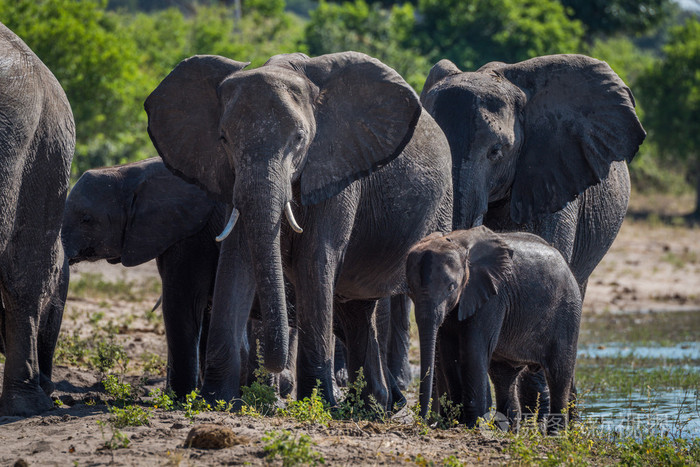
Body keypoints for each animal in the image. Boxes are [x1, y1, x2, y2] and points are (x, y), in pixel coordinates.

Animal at [146, 50, 454, 410]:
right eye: (223, 139)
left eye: (299, 139)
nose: (273, 371)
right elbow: (236, 260)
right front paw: (215, 400)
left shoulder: (337, 168)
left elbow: (315, 259)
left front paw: (317, 403)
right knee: (357, 311)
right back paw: (374, 406)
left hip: (443, 207)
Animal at [404, 225, 580, 434]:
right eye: (410, 290)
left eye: (451, 287)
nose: (422, 423)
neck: (458, 244)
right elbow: (448, 352)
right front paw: (455, 422)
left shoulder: (493, 297)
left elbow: (472, 349)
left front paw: (470, 424)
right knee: (503, 377)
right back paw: (508, 431)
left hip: (567, 313)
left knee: (559, 375)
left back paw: (555, 434)